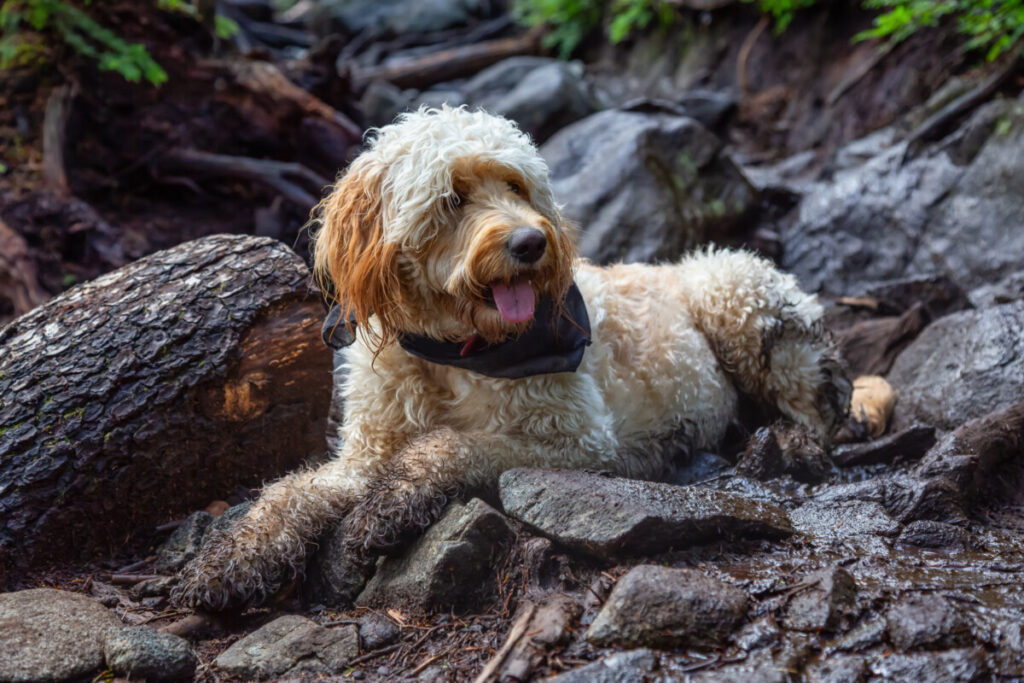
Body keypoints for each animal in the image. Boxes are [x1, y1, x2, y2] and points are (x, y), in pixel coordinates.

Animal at [174, 108, 847, 614]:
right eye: (452, 198)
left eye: (518, 187)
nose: (532, 243)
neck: (451, 349)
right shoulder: (364, 452)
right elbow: (294, 493)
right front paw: (234, 556)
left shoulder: (578, 442)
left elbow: (451, 446)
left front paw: (387, 508)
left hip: (735, 297)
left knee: (818, 406)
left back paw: (793, 442)